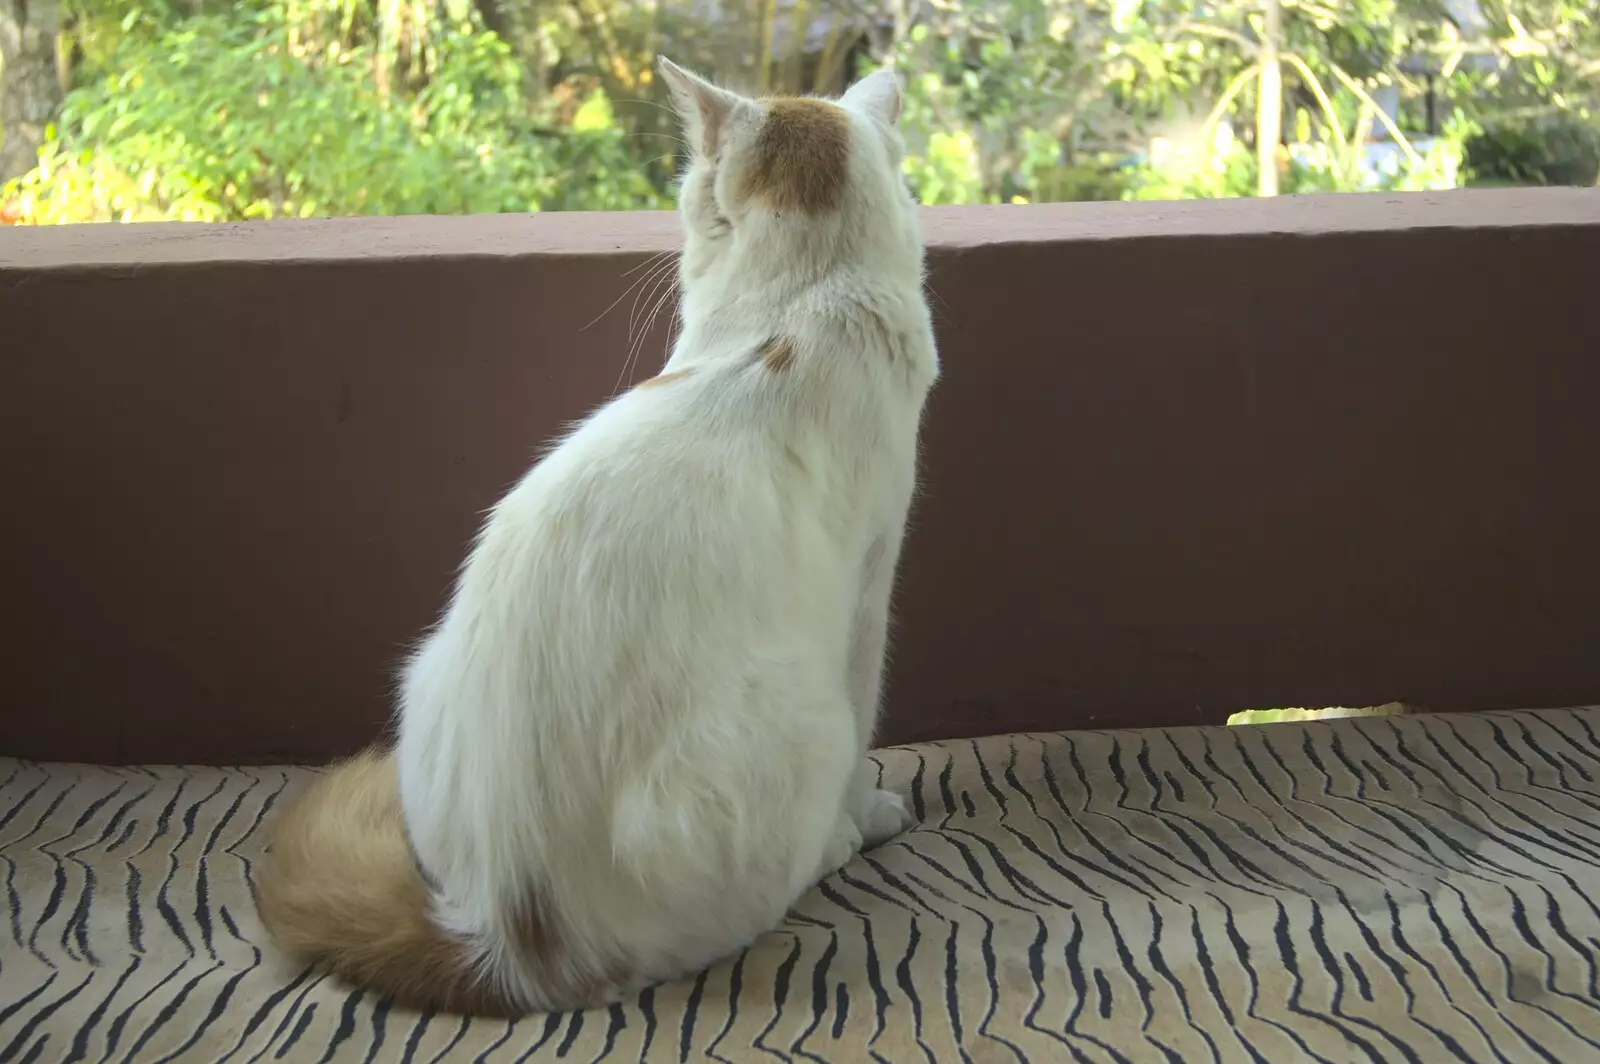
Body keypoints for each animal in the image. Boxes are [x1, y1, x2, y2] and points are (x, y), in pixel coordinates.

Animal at [256, 56, 940, 1011]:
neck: (802, 297)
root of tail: (503, 939)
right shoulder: (871, 585)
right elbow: (869, 722)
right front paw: (871, 814)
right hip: (802, 722)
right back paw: (836, 847)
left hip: (422, 673)